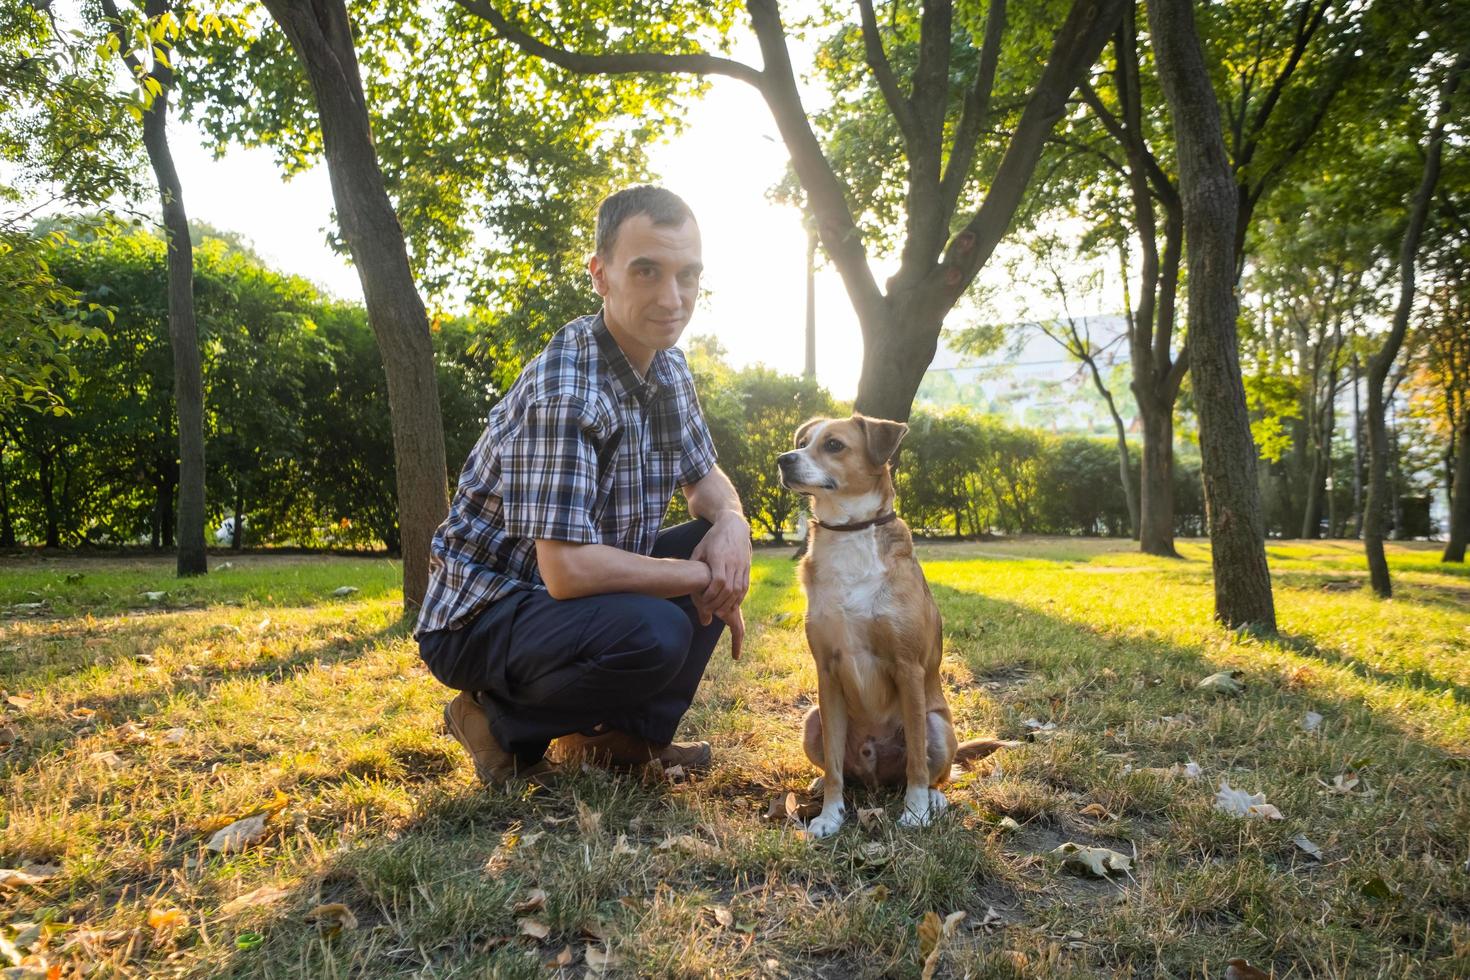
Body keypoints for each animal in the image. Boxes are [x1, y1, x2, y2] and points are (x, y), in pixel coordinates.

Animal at [770, 414, 999, 834]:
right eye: (803, 441)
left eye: (833, 445)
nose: (783, 459)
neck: (851, 533)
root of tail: (877, 778)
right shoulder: (827, 670)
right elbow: (834, 768)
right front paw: (830, 816)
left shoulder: (907, 668)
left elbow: (917, 766)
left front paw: (916, 810)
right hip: (812, 720)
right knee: (841, 768)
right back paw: (822, 783)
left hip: (937, 725)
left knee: (936, 772)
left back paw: (934, 798)